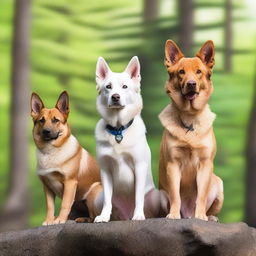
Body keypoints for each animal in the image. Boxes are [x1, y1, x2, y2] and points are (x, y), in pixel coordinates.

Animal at [30, 91, 102, 224]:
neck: (51, 152)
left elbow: (65, 203)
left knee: (95, 216)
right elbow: (50, 206)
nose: (46, 131)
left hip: (94, 190)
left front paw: (60, 220)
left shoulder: (70, 182)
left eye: (56, 120)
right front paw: (49, 220)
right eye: (41, 120)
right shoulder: (47, 186)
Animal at [94, 56, 160, 222]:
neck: (118, 129)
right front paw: (104, 216)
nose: (115, 97)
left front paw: (138, 215)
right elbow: (107, 199)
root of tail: (124, 216)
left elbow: (138, 196)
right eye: (108, 87)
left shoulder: (139, 166)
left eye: (125, 86)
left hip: (157, 195)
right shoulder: (105, 169)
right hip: (98, 197)